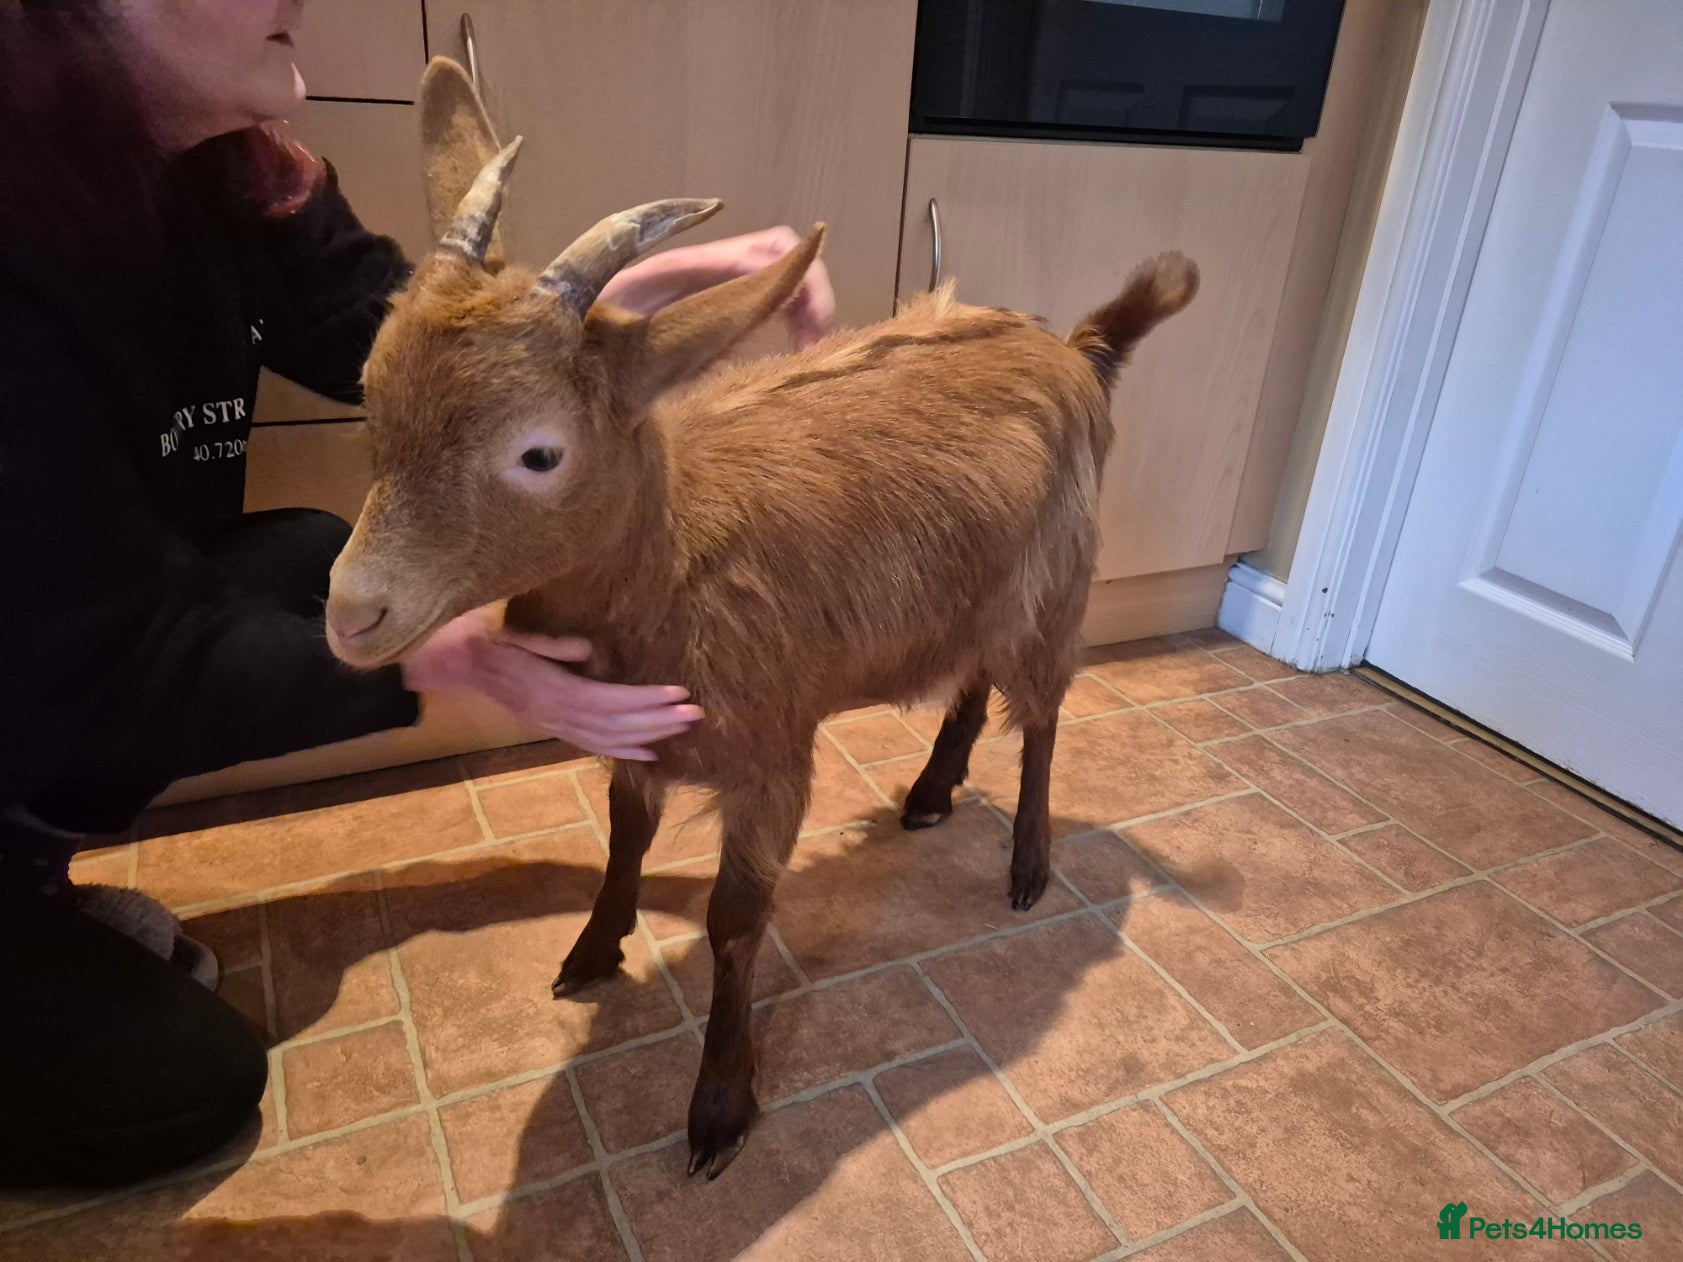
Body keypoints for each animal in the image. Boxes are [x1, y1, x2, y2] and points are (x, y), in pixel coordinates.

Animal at [326, 59, 1198, 1177]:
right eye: (368, 390)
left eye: (538, 452)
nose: (352, 610)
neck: (676, 565)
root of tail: (1076, 349)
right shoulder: (643, 738)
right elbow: (622, 835)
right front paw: (592, 948)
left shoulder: (773, 753)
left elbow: (735, 921)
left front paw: (719, 1106)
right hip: (979, 582)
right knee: (971, 676)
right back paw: (929, 792)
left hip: (1057, 582)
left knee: (1043, 713)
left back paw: (1028, 865)